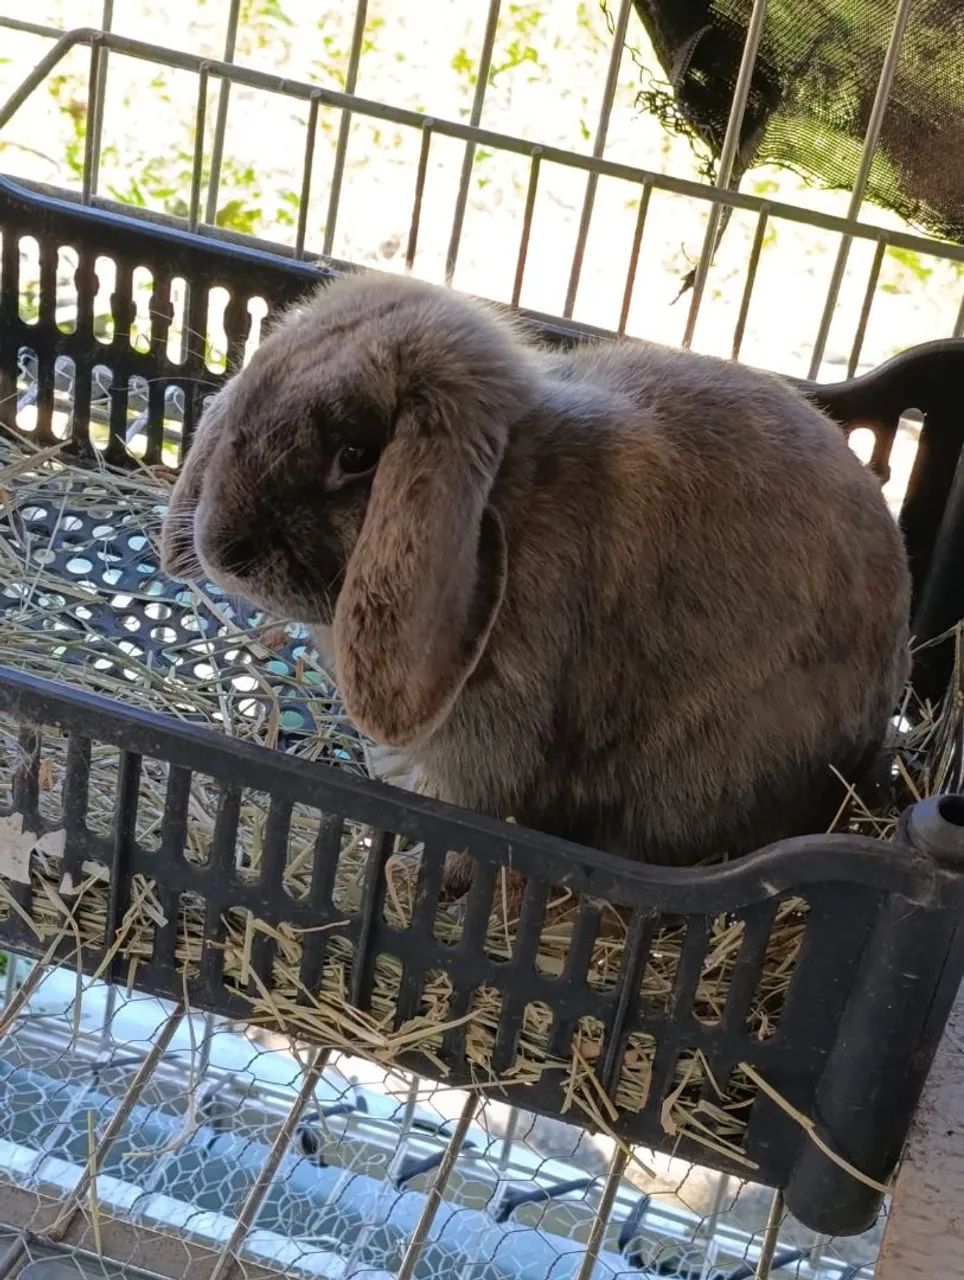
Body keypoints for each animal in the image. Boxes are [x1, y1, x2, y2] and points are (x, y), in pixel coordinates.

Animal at [161, 273, 911, 879]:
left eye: (356, 455)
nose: (224, 551)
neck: (511, 500)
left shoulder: (495, 751)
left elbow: (474, 822)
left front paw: (417, 871)